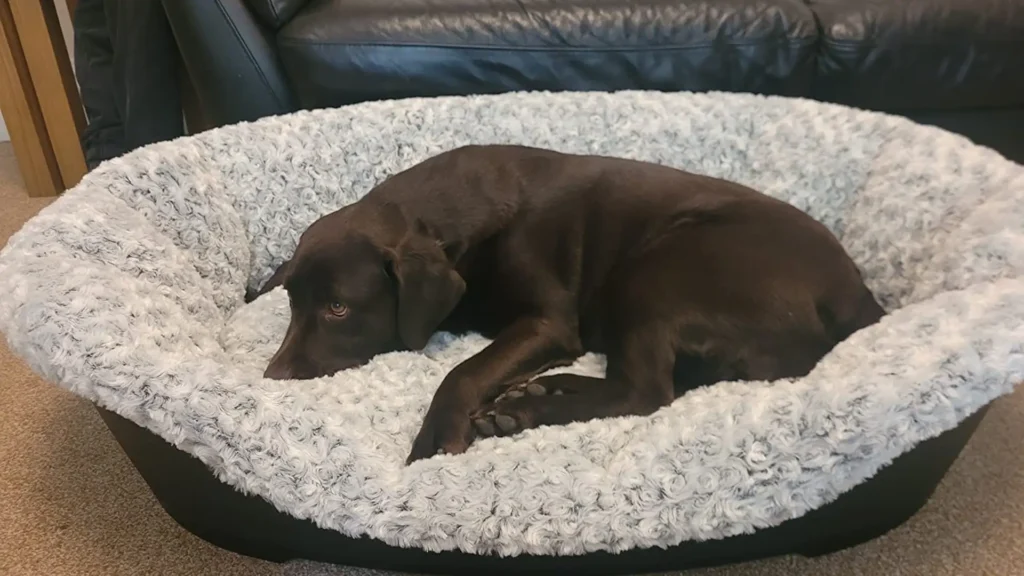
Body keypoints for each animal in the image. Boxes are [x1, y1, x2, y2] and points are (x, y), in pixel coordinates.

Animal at [251, 143, 884, 461]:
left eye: (338, 309)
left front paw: (436, 434)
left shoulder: (549, 322)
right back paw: (538, 394)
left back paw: (527, 410)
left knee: (646, 393)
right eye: (292, 304)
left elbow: (463, 370)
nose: (273, 376)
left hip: (656, 272)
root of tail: (857, 295)